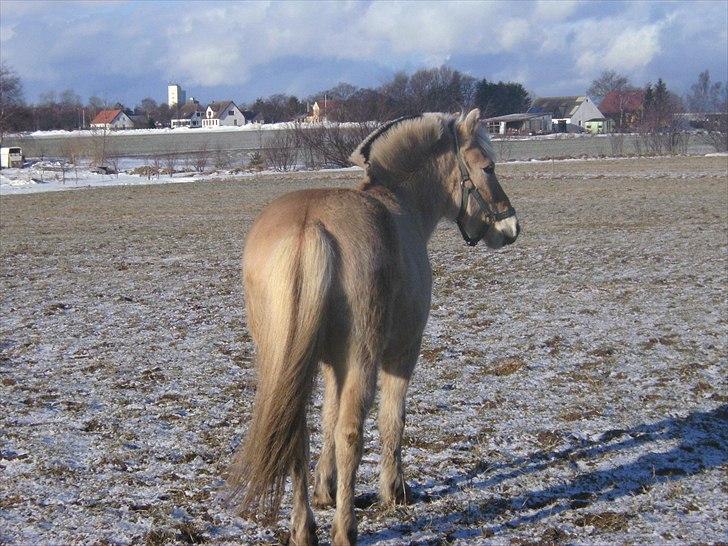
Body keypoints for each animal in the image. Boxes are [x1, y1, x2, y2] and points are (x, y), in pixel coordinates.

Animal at [228, 108, 516, 540]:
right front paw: (394, 490)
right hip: (363, 357)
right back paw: (345, 529)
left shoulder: (331, 364)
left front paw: (325, 490)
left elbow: (327, 417)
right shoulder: (402, 352)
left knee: (296, 434)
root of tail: (310, 227)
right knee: (351, 432)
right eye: (487, 167)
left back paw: (303, 529)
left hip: (284, 362)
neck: (401, 205)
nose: (510, 227)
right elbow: (391, 419)